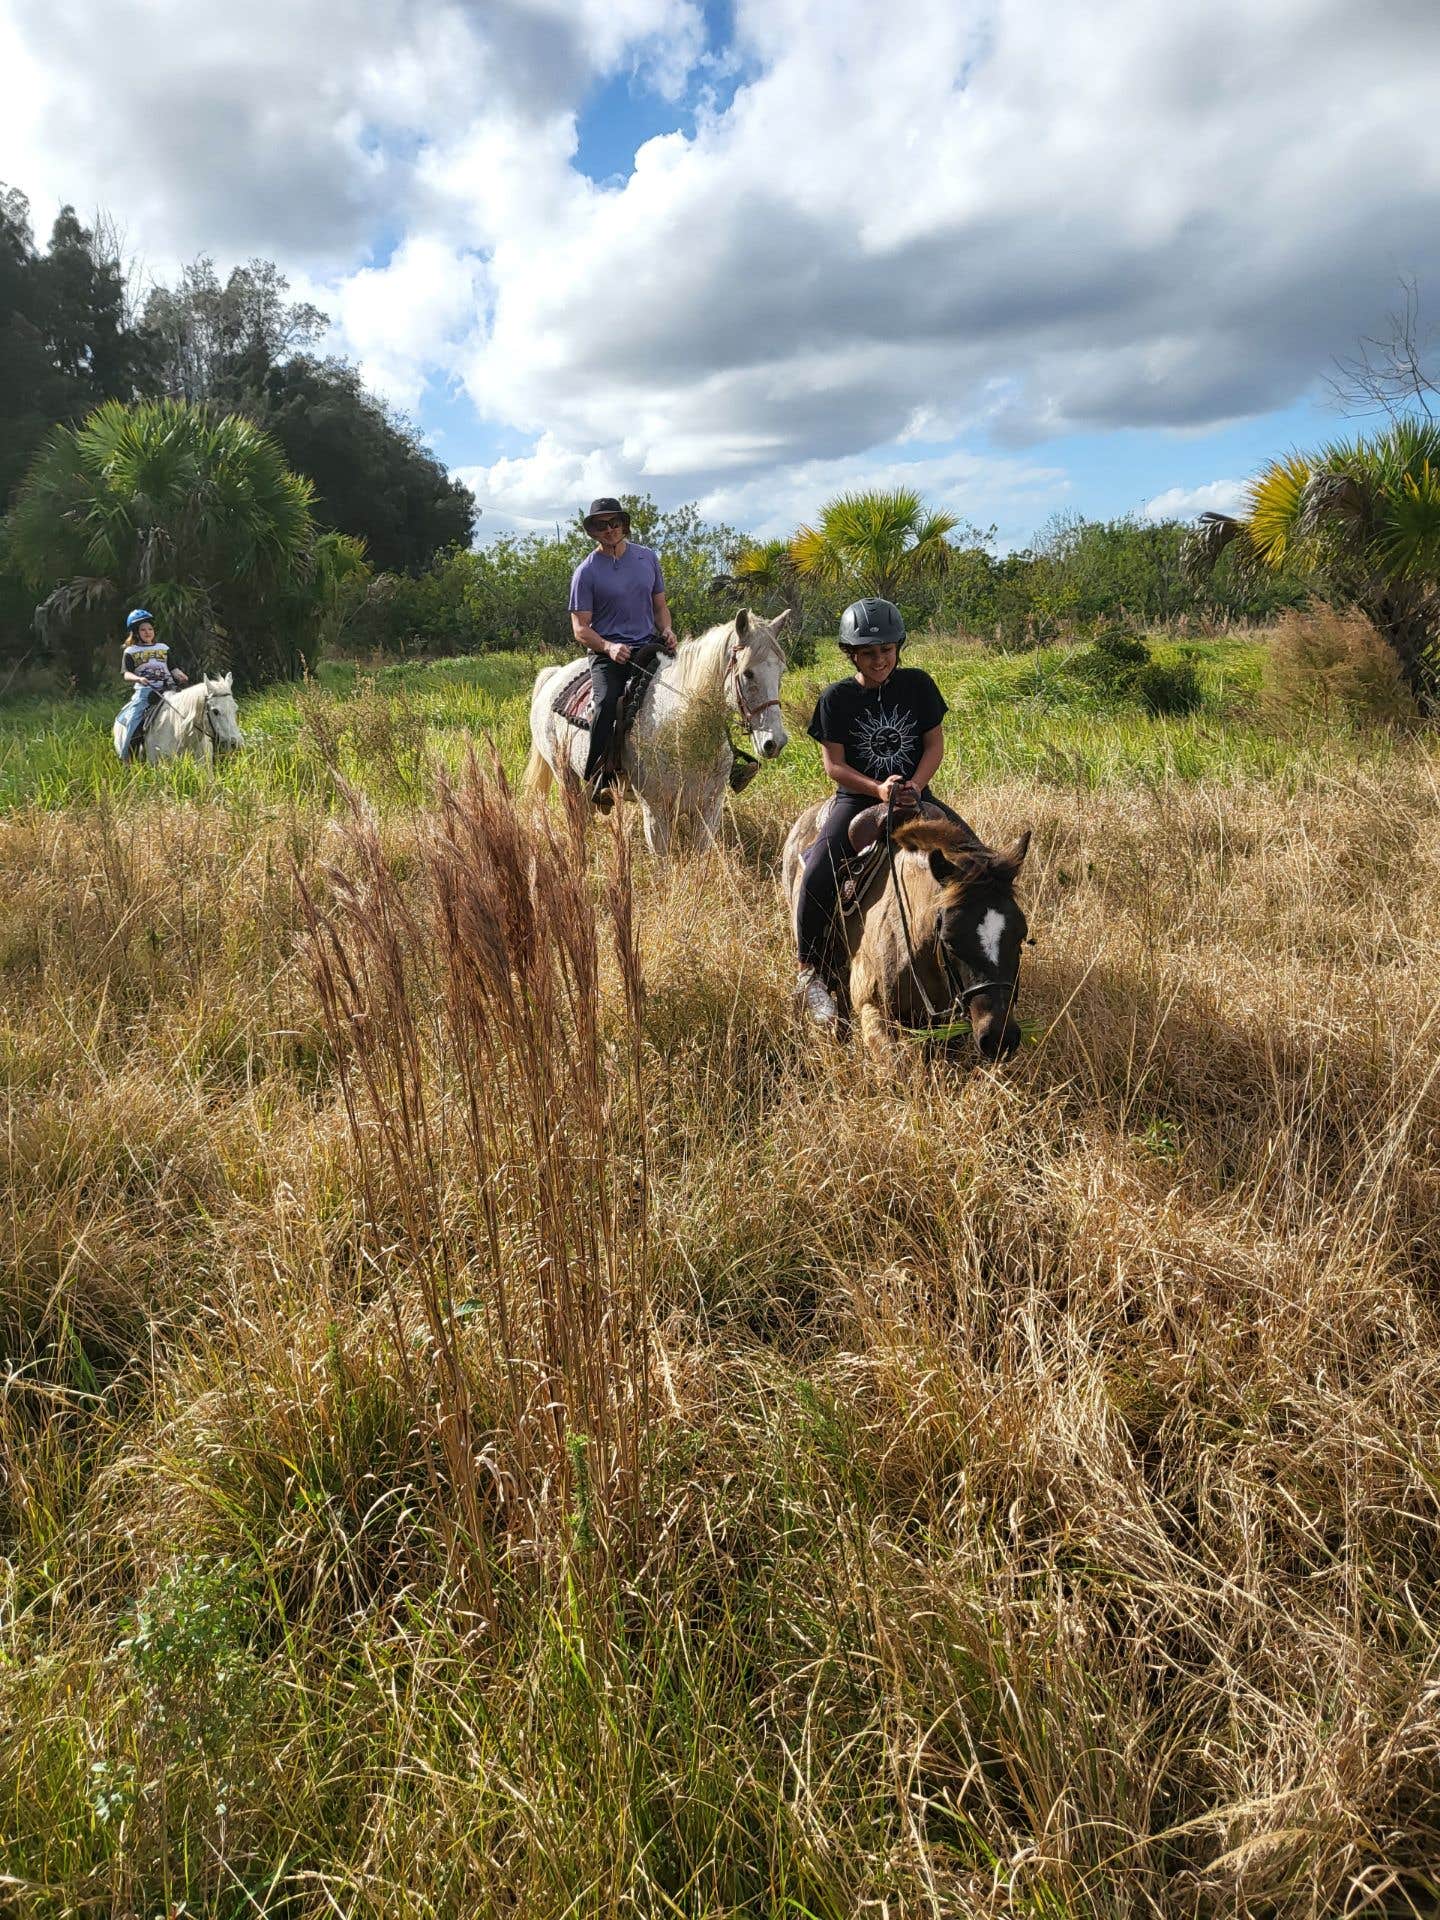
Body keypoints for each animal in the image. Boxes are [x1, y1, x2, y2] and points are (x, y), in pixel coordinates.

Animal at [524, 609, 790, 852]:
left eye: (781, 671)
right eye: (747, 673)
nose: (774, 742)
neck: (681, 728)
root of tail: (553, 676)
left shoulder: (708, 811)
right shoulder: (655, 812)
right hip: (564, 775)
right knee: (576, 821)